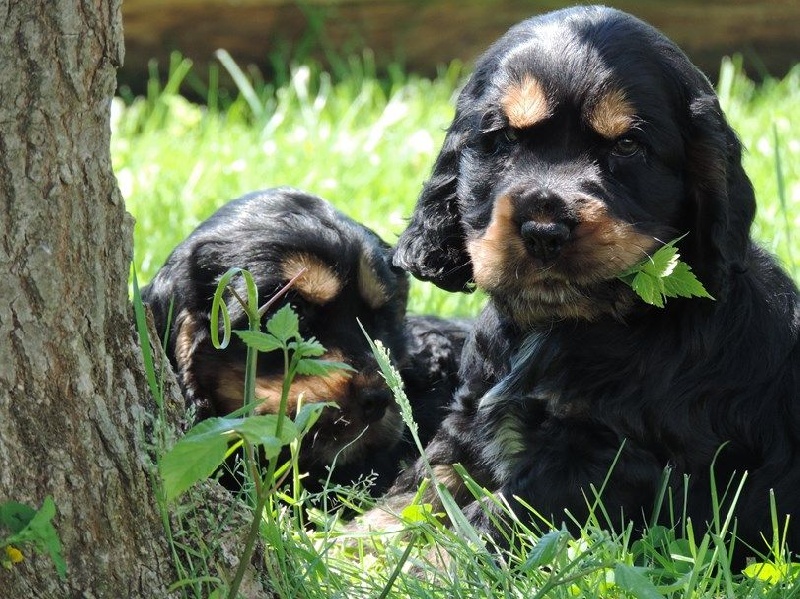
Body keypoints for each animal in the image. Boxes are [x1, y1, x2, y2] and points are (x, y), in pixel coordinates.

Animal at [376, 4, 800, 560]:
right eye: (503, 139)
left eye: (628, 146)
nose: (543, 231)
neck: (565, 327)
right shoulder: (470, 415)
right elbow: (418, 487)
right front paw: (343, 548)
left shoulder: (602, 462)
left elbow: (493, 516)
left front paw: (431, 565)